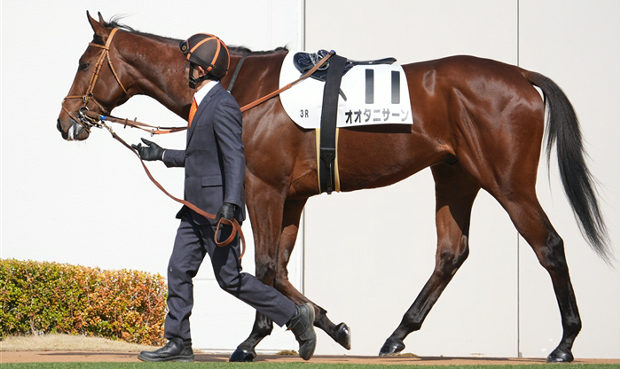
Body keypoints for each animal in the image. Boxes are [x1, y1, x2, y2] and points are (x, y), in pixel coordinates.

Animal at [58, 12, 612, 362]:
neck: (242, 87)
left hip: (508, 183)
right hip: (455, 176)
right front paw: (314, 326)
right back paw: (396, 336)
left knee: (549, 245)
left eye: (84, 63)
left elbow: (264, 267)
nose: (65, 122)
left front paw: (270, 336)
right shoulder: (291, 197)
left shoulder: (263, 187)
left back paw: (565, 344)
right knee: (451, 252)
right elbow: (278, 269)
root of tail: (520, 73)